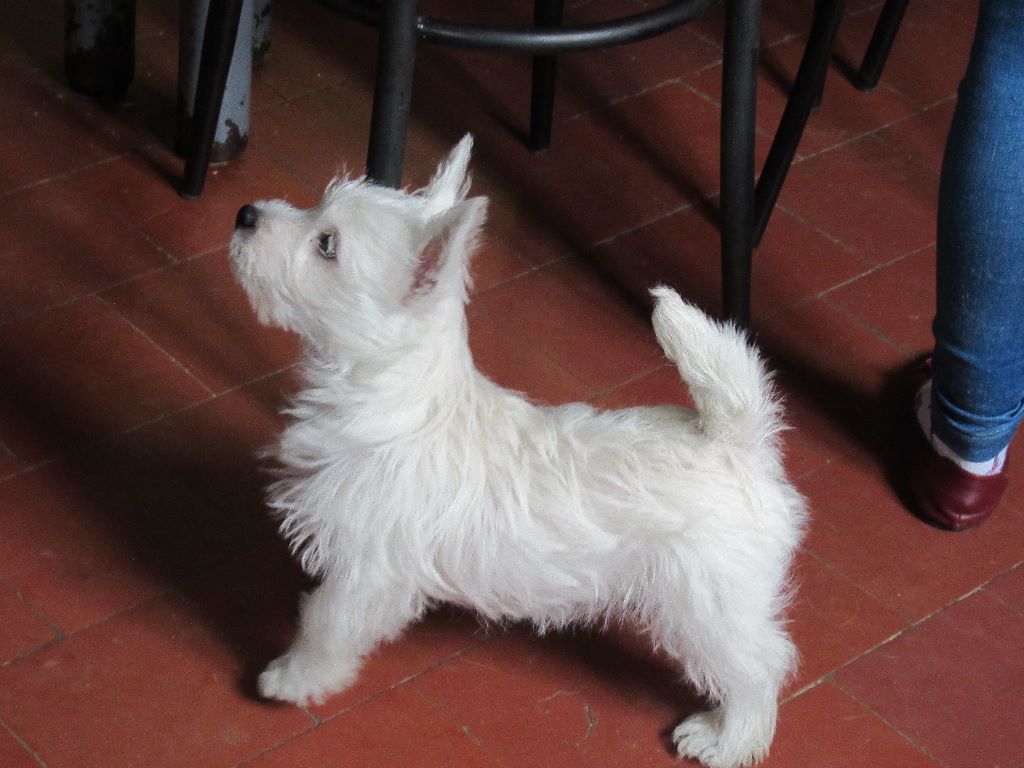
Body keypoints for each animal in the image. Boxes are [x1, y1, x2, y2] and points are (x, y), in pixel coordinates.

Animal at [232, 137, 806, 768]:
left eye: (327, 244)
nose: (246, 214)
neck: (396, 400)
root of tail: (735, 442)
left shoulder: (368, 568)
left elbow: (326, 624)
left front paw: (292, 678)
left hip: (710, 606)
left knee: (761, 665)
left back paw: (725, 738)